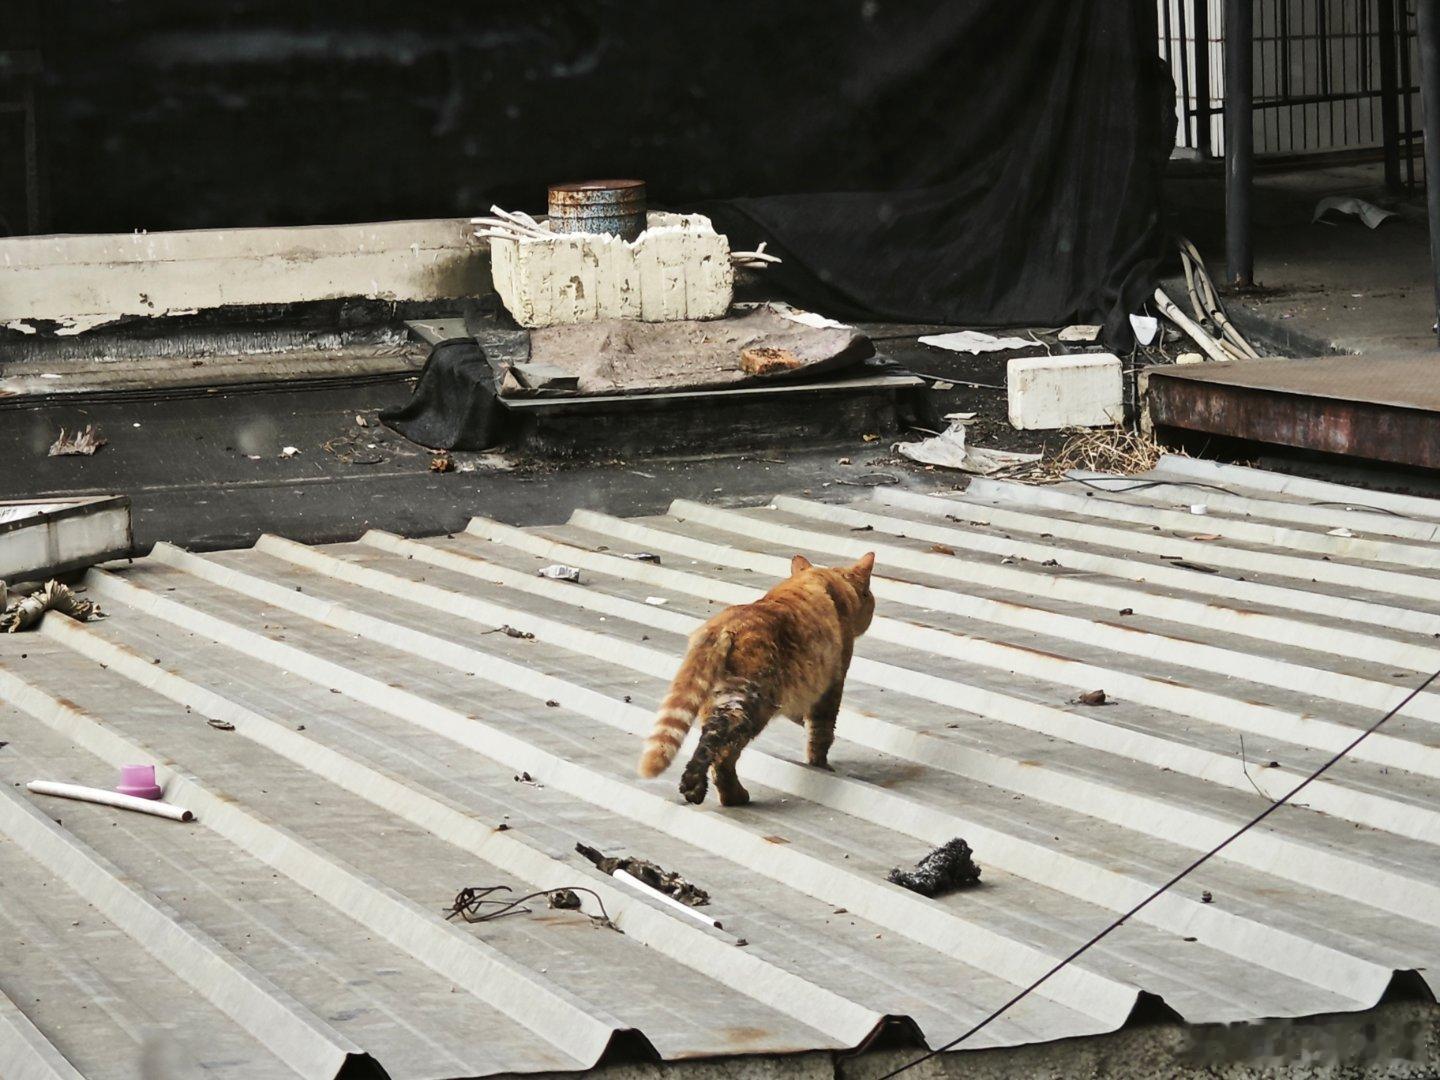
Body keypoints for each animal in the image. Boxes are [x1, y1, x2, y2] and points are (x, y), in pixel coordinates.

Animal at [639, 558, 875, 806]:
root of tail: (722, 625)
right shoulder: (832, 684)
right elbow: (821, 730)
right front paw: (819, 762)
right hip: (750, 703)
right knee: (720, 751)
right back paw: (717, 792)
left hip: (718, 699)